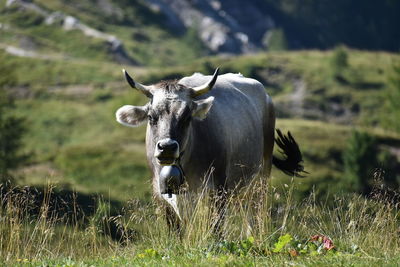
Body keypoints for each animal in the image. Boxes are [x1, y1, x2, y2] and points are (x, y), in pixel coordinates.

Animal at [115, 68, 306, 232]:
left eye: (187, 117)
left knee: (256, 217)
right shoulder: (160, 195)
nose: (167, 147)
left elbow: (216, 230)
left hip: (261, 178)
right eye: (151, 116)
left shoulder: (218, 189)